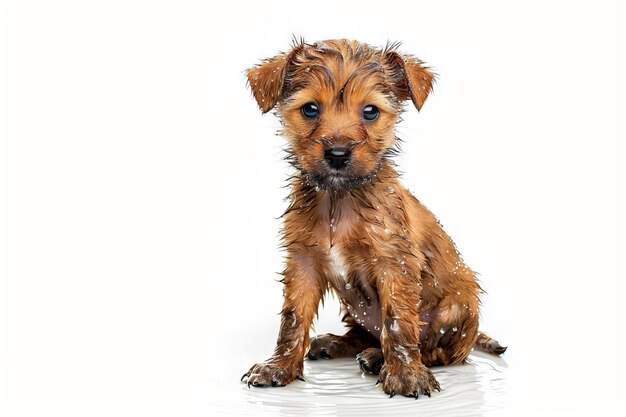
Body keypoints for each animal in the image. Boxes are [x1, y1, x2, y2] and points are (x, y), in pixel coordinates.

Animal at [241, 40, 504, 398]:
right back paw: (337, 344)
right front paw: (280, 367)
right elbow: (292, 320)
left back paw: (380, 358)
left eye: (370, 112)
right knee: (363, 333)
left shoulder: (394, 263)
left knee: (441, 351)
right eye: (310, 109)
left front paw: (407, 374)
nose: (338, 154)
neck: (338, 200)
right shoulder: (303, 262)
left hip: (457, 306)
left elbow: (398, 322)